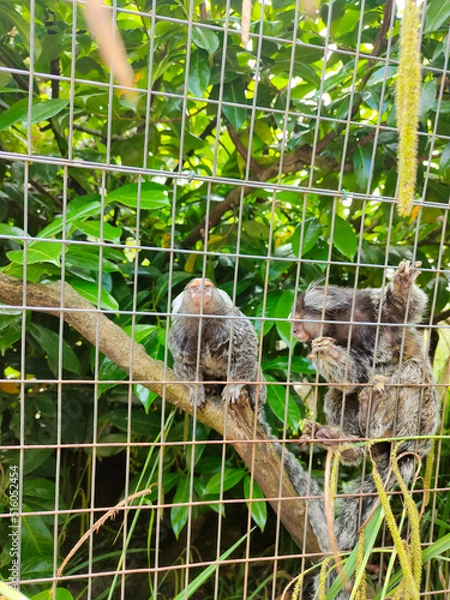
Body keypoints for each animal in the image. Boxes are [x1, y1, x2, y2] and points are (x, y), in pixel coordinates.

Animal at [170, 278, 268, 414]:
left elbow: (245, 353)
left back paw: (256, 404)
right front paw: (196, 390)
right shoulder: (179, 332)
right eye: (194, 287)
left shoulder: (233, 322)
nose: (202, 289)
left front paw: (232, 387)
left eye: (207, 286)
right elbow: (184, 363)